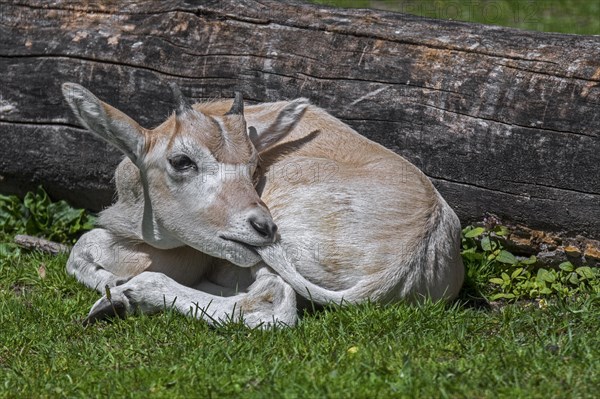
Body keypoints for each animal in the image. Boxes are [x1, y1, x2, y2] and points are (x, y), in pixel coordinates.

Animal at [62, 82, 464, 328]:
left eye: (256, 167)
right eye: (181, 161)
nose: (263, 227)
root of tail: (411, 256)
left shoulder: (190, 250)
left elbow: (84, 245)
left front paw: (115, 285)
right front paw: (109, 281)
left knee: (275, 298)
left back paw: (124, 298)